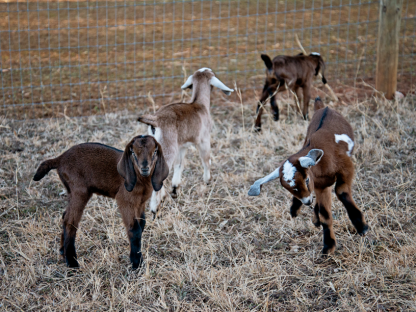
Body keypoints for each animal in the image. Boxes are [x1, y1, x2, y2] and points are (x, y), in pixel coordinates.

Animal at [32, 135, 168, 270]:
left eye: (155, 152)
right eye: (133, 153)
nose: (144, 169)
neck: (141, 180)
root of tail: (60, 159)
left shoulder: (140, 203)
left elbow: (142, 224)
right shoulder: (125, 200)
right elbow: (134, 229)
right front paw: (136, 263)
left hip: (72, 191)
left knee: (65, 215)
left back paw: (62, 251)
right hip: (79, 191)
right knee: (70, 221)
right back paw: (72, 262)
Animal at [137, 66, 232, 217]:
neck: (199, 104)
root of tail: (155, 120)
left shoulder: (182, 146)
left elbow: (180, 165)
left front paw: (175, 189)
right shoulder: (204, 140)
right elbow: (206, 160)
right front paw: (207, 181)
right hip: (167, 149)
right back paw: (154, 208)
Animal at [247, 98, 368, 256]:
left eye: (306, 180)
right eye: (287, 189)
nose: (306, 202)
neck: (322, 163)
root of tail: (324, 107)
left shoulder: (346, 167)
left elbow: (341, 191)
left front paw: (361, 226)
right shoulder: (321, 186)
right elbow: (325, 214)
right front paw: (328, 246)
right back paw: (302, 212)